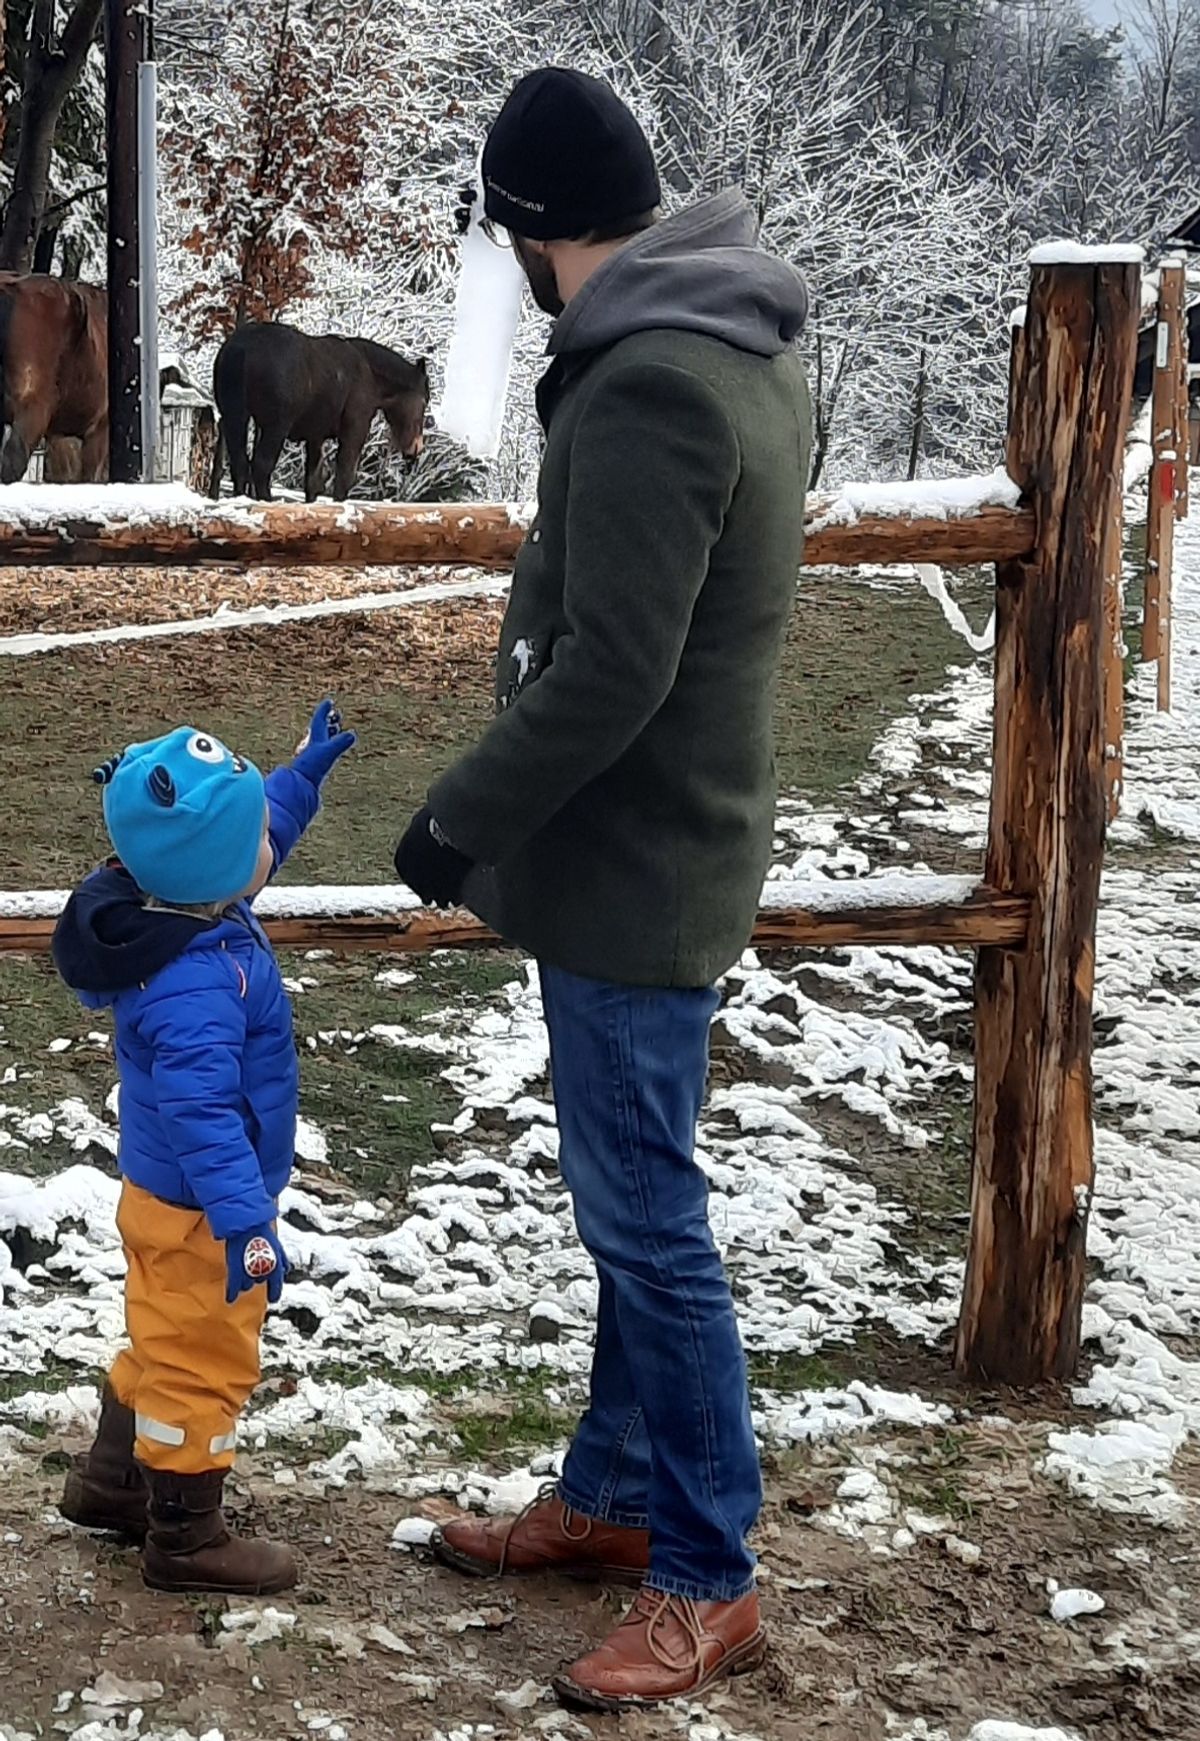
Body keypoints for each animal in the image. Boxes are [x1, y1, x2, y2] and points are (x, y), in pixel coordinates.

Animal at [210, 323, 430, 501]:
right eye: (425, 401)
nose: (416, 447)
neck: (370, 372)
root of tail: (242, 349)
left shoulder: (315, 436)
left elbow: (313, 482)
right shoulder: (355, 431)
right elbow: (344, 477)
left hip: (235, 417)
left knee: (239, 464)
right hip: (275, 427)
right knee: (261, 467)